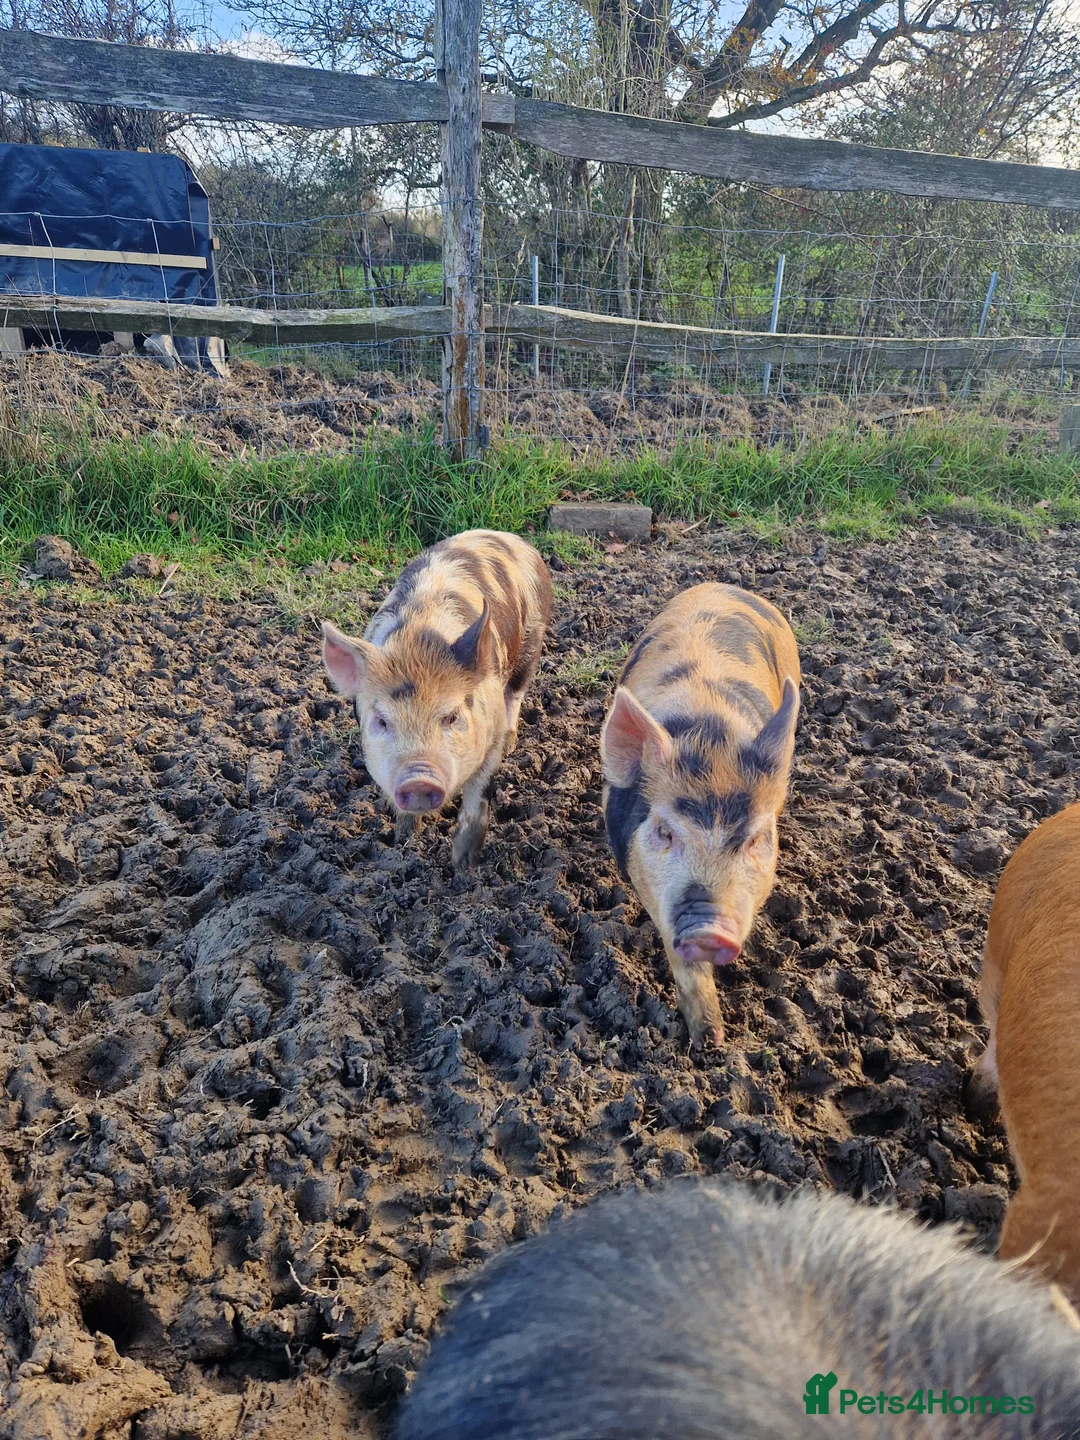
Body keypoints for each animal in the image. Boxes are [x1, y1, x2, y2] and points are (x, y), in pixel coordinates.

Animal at [320, 529, 552, 868]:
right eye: (382, 721)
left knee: (518, 691)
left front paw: (464, 864)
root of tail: (510, 537)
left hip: (533, 639)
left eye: (452, 716)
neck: (417, 641)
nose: (419, 780)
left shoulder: (491, 732)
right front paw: (404, 845)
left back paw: (513, 741)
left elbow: (478, 796)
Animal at [600, 583, 800, 1046]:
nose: (708, 928)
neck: (710, 730)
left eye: (754, 838)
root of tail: (720, 586)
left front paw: (715, 1042)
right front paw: (709, 1041)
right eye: (664, 831)